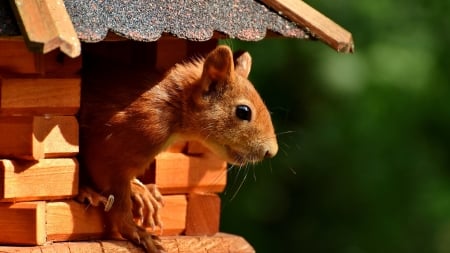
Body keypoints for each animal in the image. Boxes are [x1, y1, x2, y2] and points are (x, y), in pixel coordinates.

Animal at [79, 44, 280, 252]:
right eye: (243, 111)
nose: (271, 151)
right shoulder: (115, 145)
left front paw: (141, 191)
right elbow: (116, 197)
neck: (174, 108)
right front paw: (136, 231)